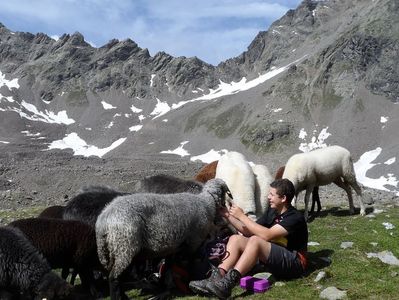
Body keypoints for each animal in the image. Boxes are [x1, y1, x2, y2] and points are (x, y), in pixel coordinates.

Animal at [96, 178, 231, 300]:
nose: (226, 206)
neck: (206, 202)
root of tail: (104, 218)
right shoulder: (193, 242)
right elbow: (190, 262)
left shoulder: (174, 246)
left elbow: (168, 266)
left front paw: (166, 285)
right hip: (125, 245)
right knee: (114, 278)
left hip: (114, 248)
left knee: (114, 275)